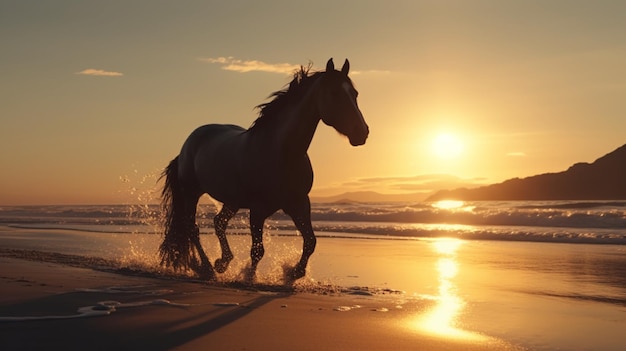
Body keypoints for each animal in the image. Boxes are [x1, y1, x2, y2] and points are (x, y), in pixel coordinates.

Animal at [158, 57, 368, 284]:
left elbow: (310, 241)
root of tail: (188, 144)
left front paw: (293, 273)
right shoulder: (258, 209)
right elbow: (257, 251)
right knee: (193, 229)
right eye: (334, 93)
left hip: (232, 201)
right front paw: (249, 278)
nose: (362, 132)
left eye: (355, 94)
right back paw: (207, 268)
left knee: (218, 222)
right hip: (191, 193)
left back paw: (222, 262)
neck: (280, 151)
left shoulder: (299, 204)